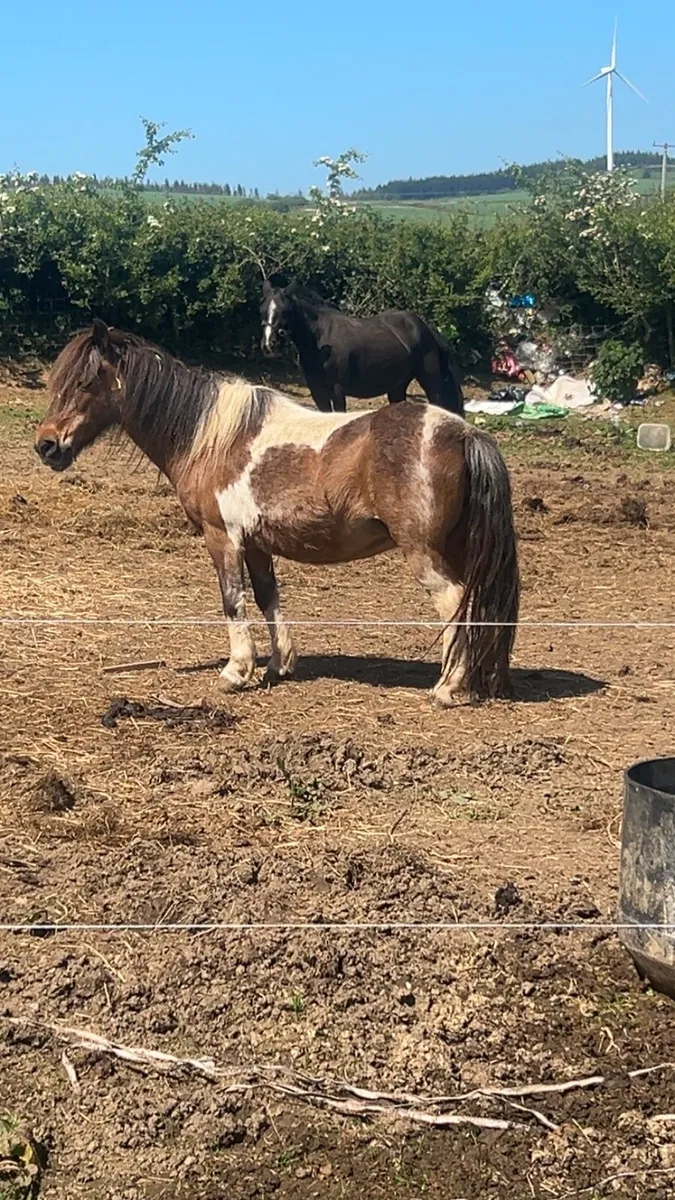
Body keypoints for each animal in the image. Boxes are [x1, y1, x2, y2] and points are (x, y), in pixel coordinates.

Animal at [35, 320, 519, 705]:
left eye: (85, 382)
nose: (46, 445)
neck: (211, 438)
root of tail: (465, 432)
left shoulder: (222, 537)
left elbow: (233, 600)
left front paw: (235, 672)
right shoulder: (256, 544)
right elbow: (269, 597)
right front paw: (278, 665)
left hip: (425, 553)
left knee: (454, 603)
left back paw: (448, 688)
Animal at [260, 280, 465, 416]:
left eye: (284, 311)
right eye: (262, 309)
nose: (269, 344)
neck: (319, 340)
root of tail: (425, 327)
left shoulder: (337, 391)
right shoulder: (317, 391)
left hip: (430, 382)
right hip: (397, 387)